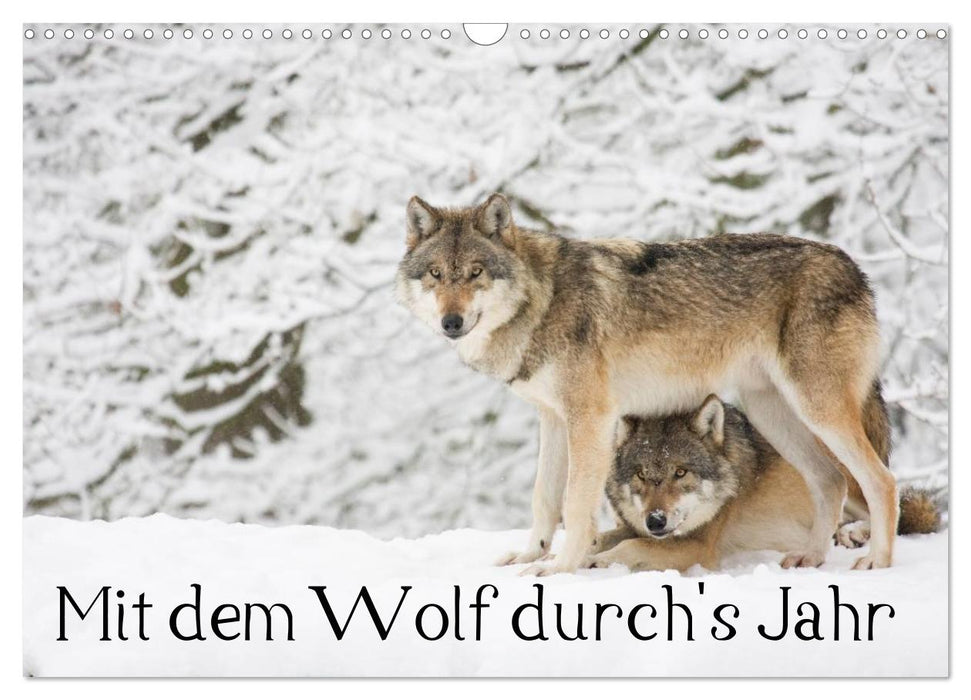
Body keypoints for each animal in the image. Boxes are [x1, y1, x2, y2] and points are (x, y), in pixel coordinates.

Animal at [396, 193, 899, 574]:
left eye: (475, 272)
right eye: (436, 274)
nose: (451, 322)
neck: (542, 300)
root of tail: (854, 267)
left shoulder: (591, 419)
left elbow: (576, 507)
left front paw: (560, 569)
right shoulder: (553, 419)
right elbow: (544, 498)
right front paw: (529, 555)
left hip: (817, 408)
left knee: (881, 480)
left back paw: (877, 560)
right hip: (770, 412)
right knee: (831, 480)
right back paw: (811, 557)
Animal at [589, 395, 939, 572]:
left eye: (681, 472)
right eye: (641, 474)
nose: (656, 520)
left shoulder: (697, 546)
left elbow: (631, 546)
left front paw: (597, 561)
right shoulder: (636, 528)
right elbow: (604, 538)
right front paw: (583, 552)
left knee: (890, 504)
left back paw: (854, 537)